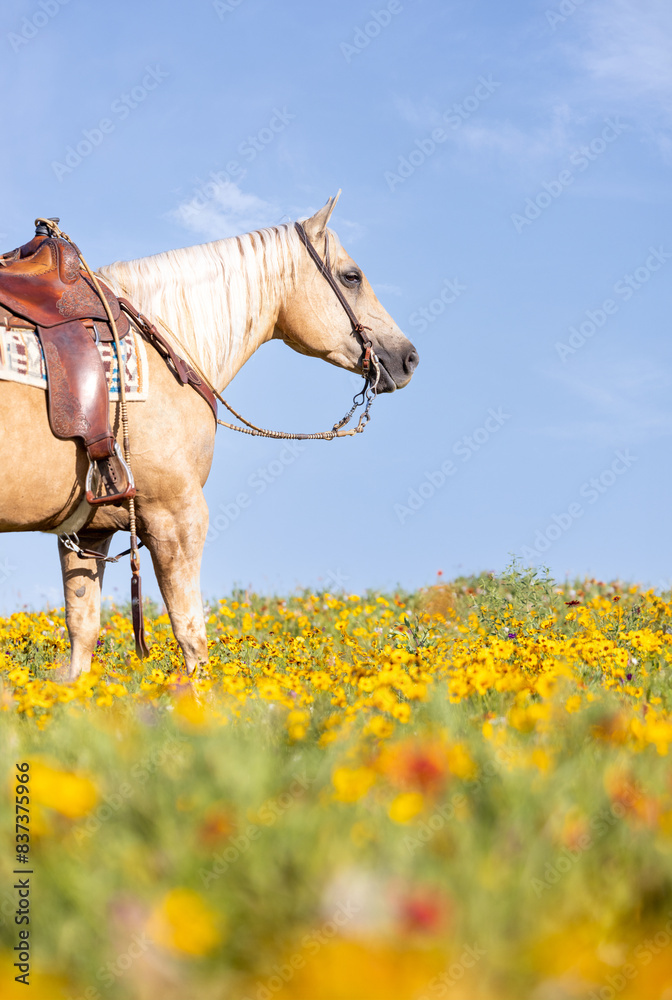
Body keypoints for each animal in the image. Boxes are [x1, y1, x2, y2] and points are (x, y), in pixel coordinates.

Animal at [0, 194, 418, 678]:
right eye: (352, 277)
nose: (408, 357)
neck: (165, 345)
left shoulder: (87, 535)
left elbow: (81, 639)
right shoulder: (177, 517)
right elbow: (192, 638)